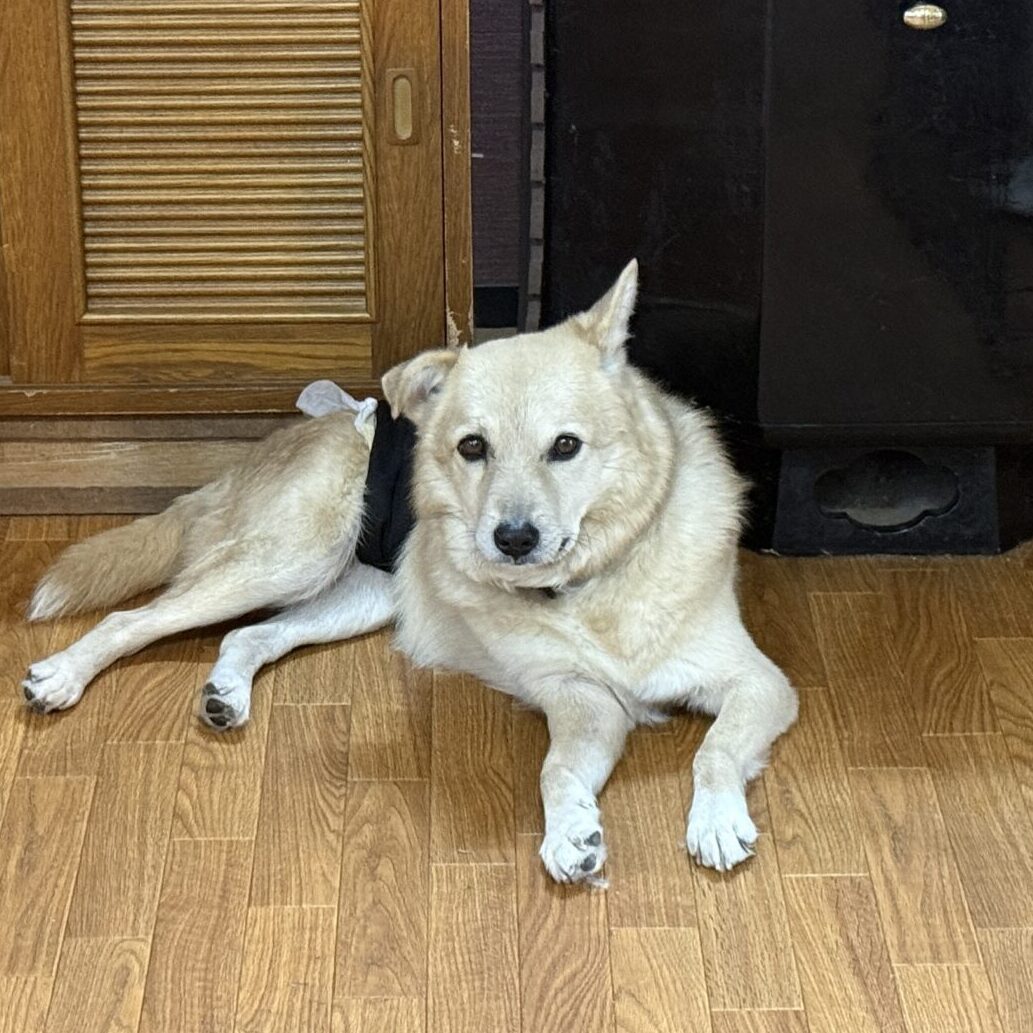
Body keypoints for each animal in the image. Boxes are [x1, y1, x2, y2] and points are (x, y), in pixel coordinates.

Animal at [21, 260, 796, 883]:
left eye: (566, 446)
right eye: (473, 446)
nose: (513, 539)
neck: (592, 585)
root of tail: (304, 428)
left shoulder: (757, 683)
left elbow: (713, 749)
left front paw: (711, 819)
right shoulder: (581, 700)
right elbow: (555, 771)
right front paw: (571, 829)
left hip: (358, 597)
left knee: (250, 636)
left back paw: (225, 693)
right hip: (288, 560)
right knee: (134, 618)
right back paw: (61, 674)